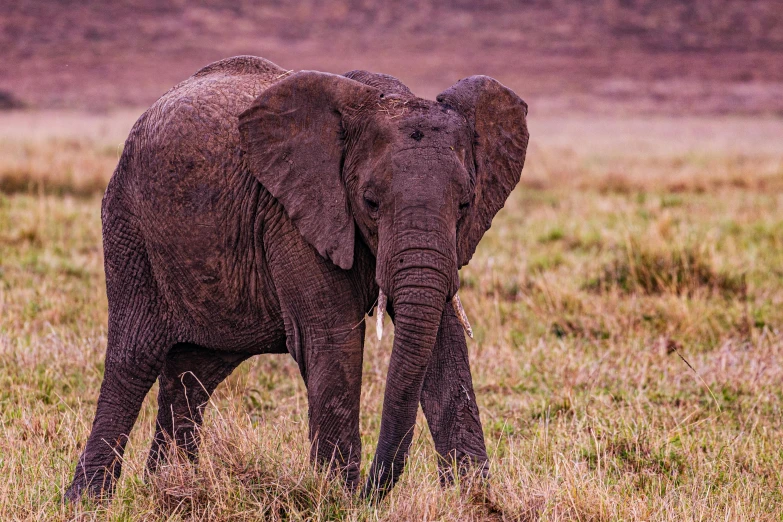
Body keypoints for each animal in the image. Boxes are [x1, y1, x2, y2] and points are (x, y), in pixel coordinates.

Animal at [66, 53, 532, 500]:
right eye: (370, 202)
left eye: (465, 204)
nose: (372, 492)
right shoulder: (291, 215)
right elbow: (331, 341)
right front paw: (338, 502)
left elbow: (442, 344)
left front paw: (475, 501)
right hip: (129, 227)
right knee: (133, 360)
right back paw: (89, 501)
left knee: (193, 373)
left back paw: (168, 487)